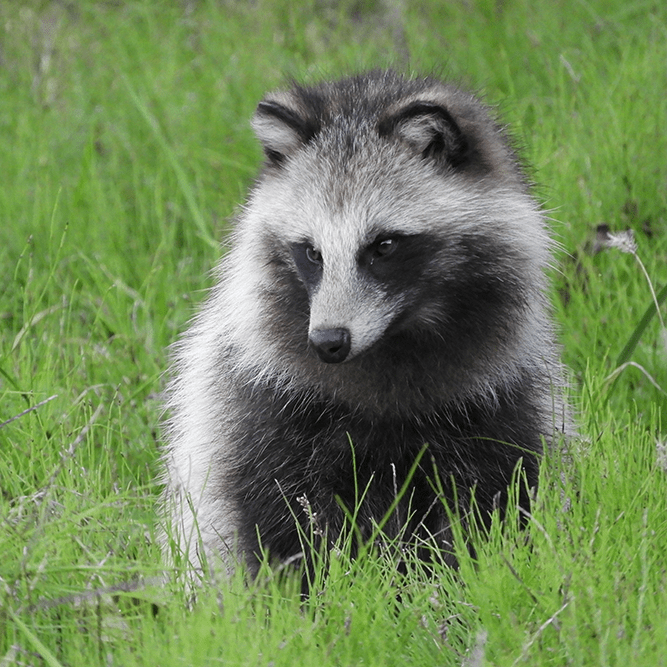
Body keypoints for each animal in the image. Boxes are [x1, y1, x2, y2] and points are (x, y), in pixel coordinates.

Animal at [163, 69, 568, 580]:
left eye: (384, 245)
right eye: (311, 252)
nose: (328, 342)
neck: (391, 343)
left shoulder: (493, 399)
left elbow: (489, 496)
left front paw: (463, 577)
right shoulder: (267, 399)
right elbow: (281, 509)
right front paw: (314, 586)